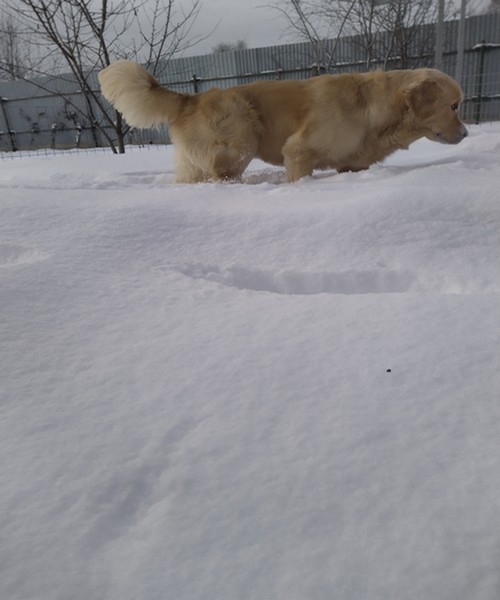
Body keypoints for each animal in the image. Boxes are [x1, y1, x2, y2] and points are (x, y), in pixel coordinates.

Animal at [98, 61, 468, 183]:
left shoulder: (352, 164)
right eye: (454, 106)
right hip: (240, 139)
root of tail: (192, 97)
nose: (465, 134)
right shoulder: (299, 151)